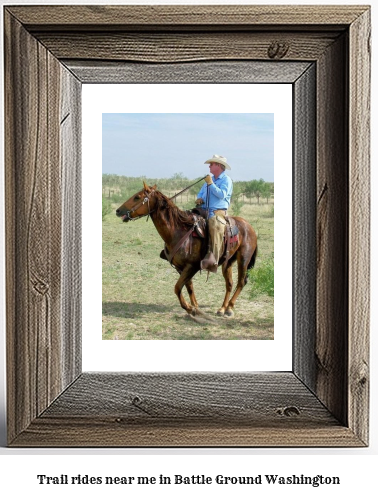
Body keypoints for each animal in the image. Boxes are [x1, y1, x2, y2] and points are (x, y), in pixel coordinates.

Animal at [115, 182, 256, 318]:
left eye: (137, 197)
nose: (118, 210)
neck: (178, 231)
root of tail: (249, 226)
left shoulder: (191, 266)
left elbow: (177, 287)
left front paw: (189, 308)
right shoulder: (180, 267)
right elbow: (189, 287)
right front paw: (196, 309)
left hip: (243, 259)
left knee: (241, 282)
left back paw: (230, 308)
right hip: (228, 262)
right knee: (229, 283)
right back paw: (222, 309)